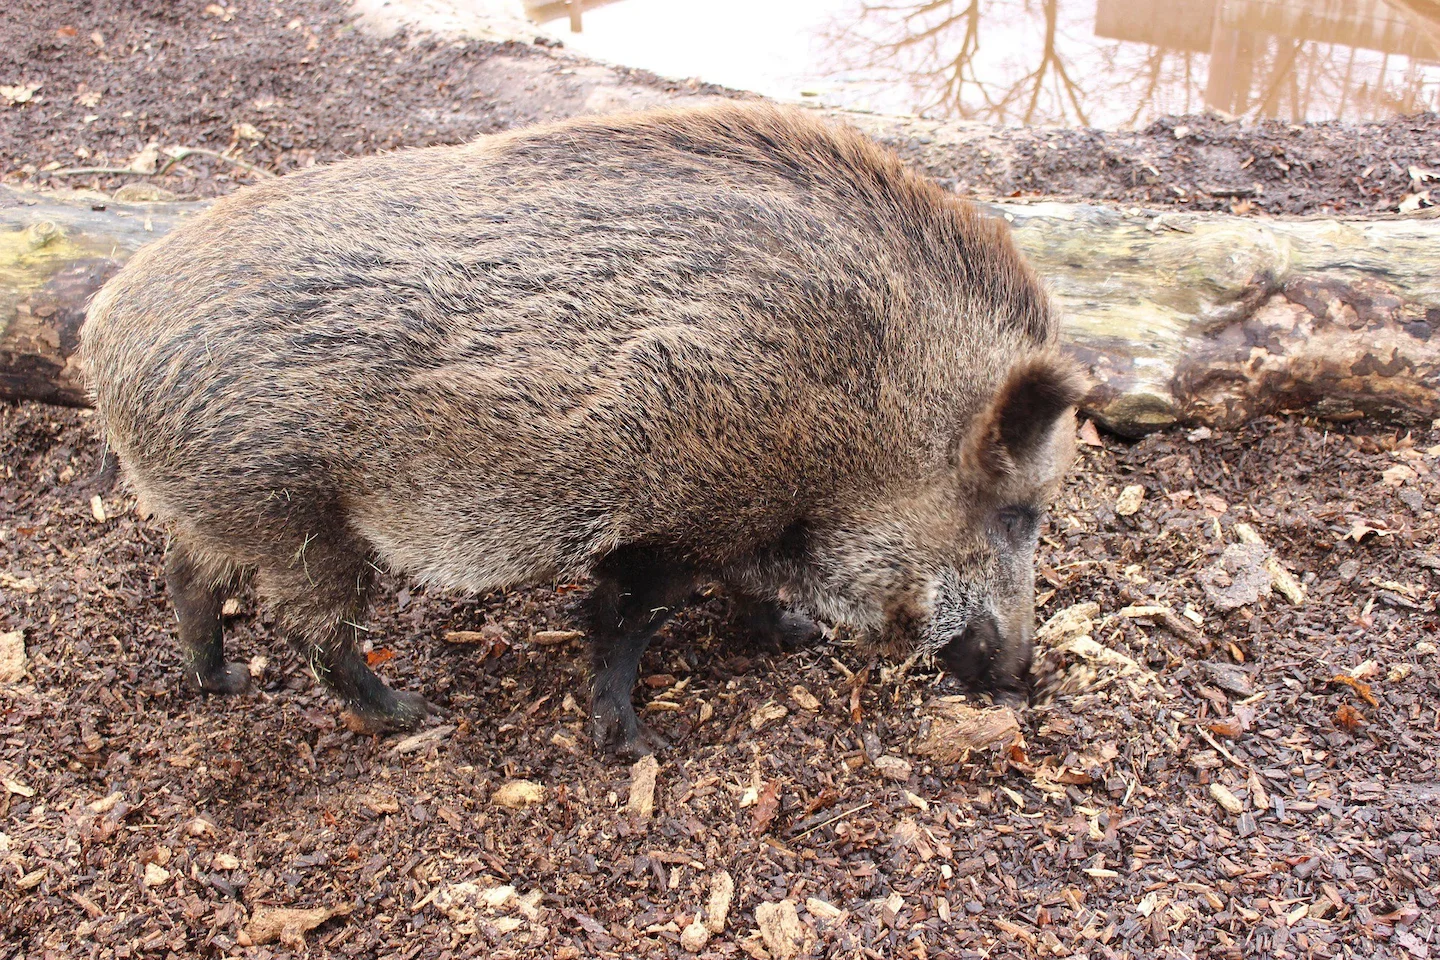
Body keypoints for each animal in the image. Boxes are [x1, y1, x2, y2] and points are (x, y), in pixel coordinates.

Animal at [80, 102, 1087, 759]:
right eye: (1017, 513)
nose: (1022, 678)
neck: (861, 406)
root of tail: (107, 332)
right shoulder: (679, 515)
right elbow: (620, 619)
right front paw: (635, 747)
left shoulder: (744, 521)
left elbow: (745, 590)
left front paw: (792, 632)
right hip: (299, 515)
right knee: (312, 630)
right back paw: (410, 711)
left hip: (226, 510)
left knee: (187, 577)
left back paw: (223, 683)